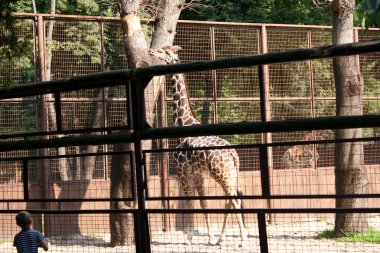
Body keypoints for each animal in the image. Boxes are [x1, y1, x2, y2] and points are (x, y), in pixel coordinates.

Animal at [150, 46, 248, 247]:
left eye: (164, 50)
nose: (151, 51)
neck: (183, 123)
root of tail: (233, 153)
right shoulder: (197, 173)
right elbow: (203, 202)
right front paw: (209, 237)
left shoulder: (182, 170)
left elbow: (189, 202)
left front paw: (188, 238)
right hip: (231, 174)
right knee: (231, 199)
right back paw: (220, 239)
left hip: (221, 174)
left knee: (234, 200)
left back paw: (243, 239)